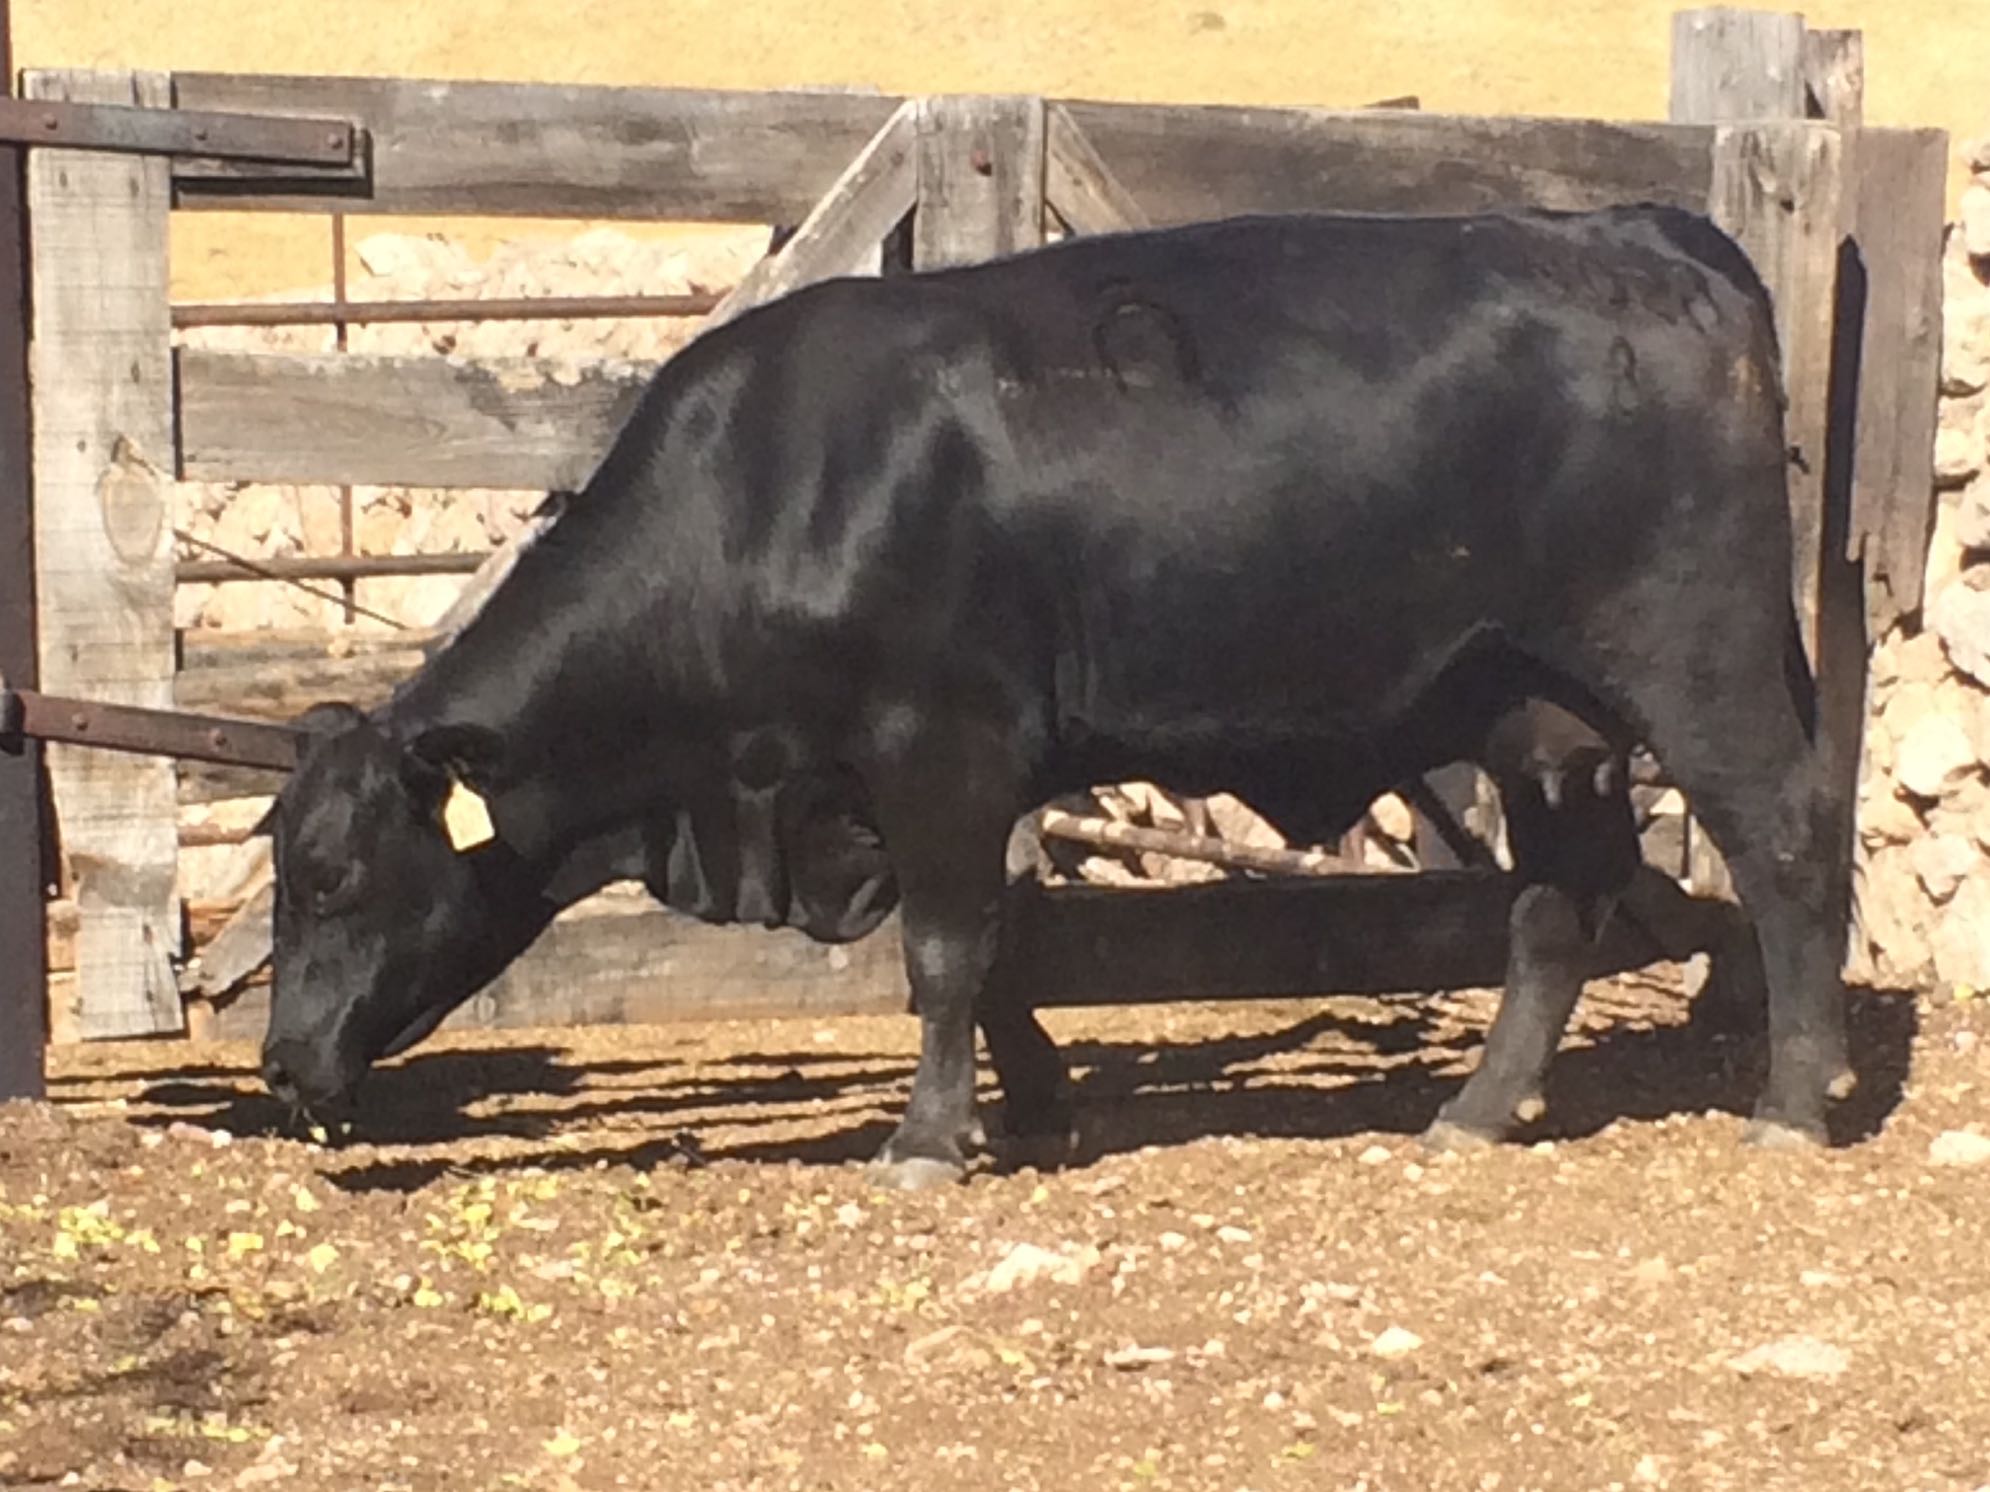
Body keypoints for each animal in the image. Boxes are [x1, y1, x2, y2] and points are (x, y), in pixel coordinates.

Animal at [256, 204, 1853, 1187]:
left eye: (331, 875)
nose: (278, 1064)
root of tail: (1636, 229)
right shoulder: (901, 788)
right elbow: (997, 954)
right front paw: (1033, 1105)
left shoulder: (940, 747)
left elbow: (948, 952)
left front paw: (925, 1141)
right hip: (1532, 711)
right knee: (1554, 903)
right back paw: (1471, 1112)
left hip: (1694, 663)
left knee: (1781, 840)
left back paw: (1791, 1099)